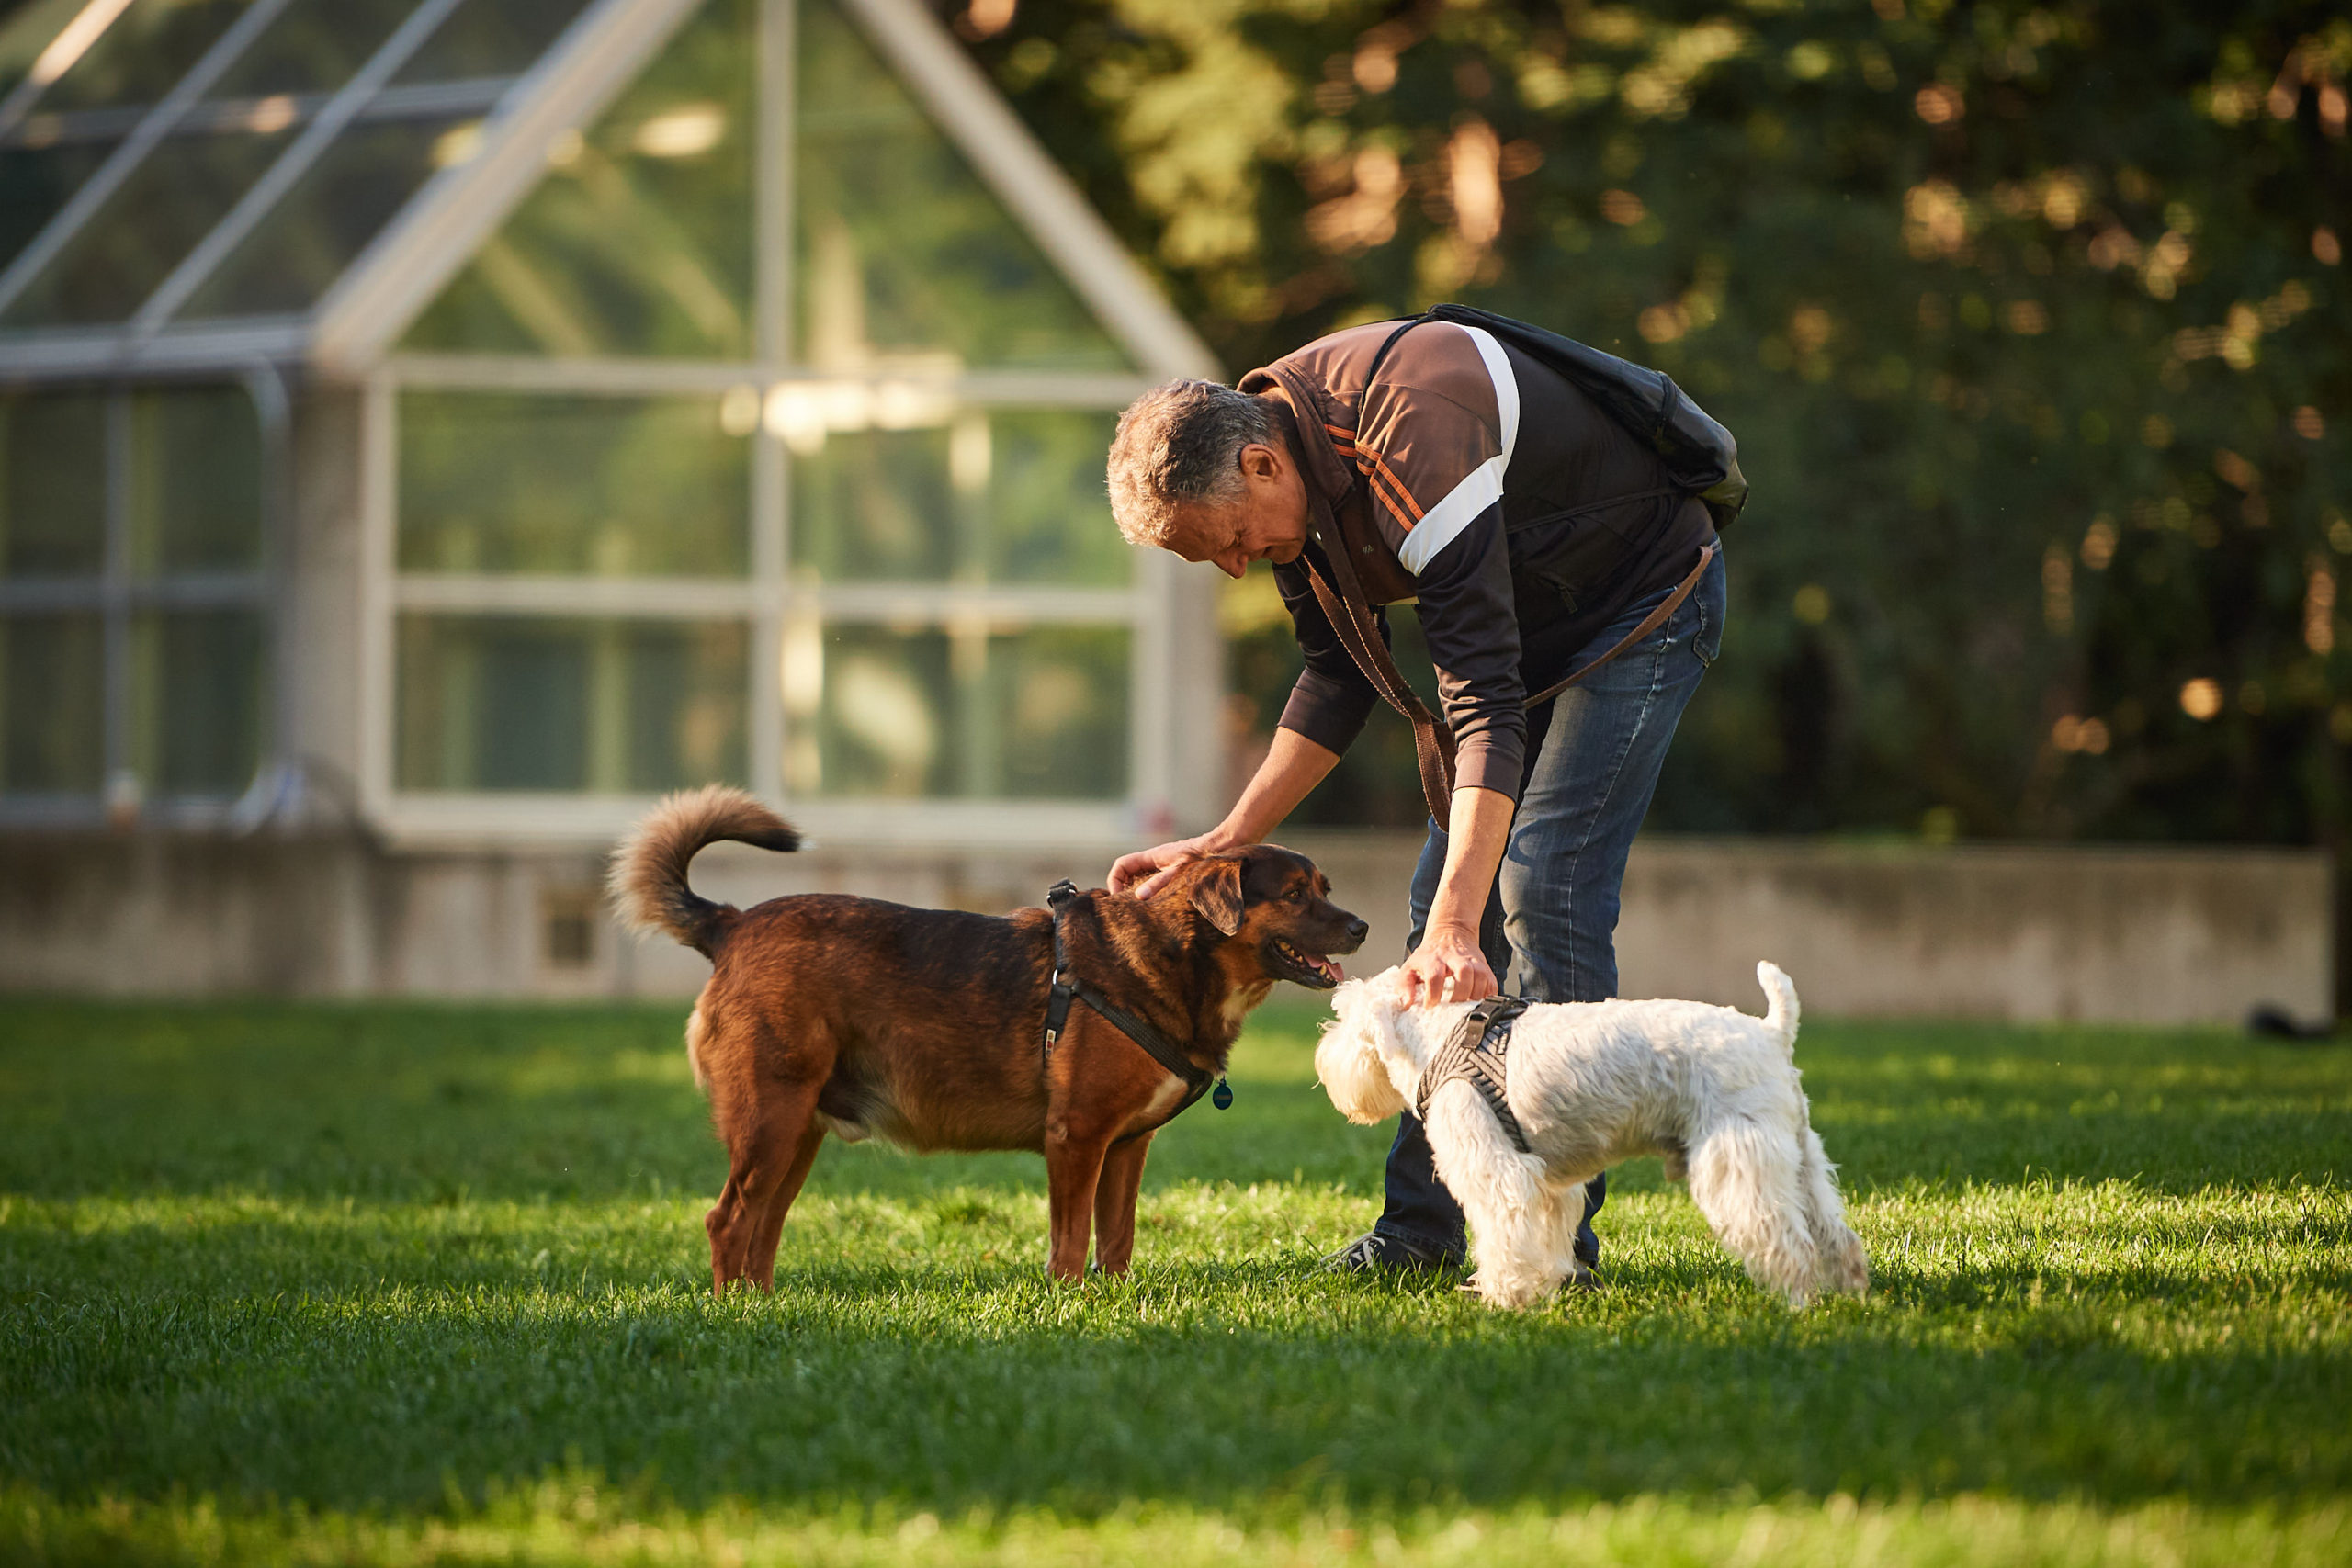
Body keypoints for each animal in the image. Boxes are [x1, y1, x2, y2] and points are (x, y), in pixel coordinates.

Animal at [616, 789, 1374, 1297]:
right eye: (1296, 894)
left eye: (1326, 887)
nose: (1363, 925)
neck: (1173, 953)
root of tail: (731, 924)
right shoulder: (1076, 1138)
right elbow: (1070, 1239)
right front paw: (1070, 1300)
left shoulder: (1126, 1147)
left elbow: (1117, 1237)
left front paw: (1115, 1298)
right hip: (771, 1119)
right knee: (727, 1220)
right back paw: (733, 1308)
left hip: (797, 1130)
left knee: (763, 1225)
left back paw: (762, 1303)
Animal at [1317, 968, 1862, 1316]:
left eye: (1342, 1018)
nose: (1323, 1055)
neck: (1439, 1038)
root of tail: (1772, 1032)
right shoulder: (1550, 1186)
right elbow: (1544, 1240)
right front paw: (1542, 1290)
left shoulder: (1498, 1176)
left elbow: (1503, 1239)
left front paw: (1500, 1298)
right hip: (1801, 1162)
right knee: (1837, 1239)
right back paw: (1851, 1298)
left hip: (1739, 1166)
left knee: (1791, 1244)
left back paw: (1797, 1307)